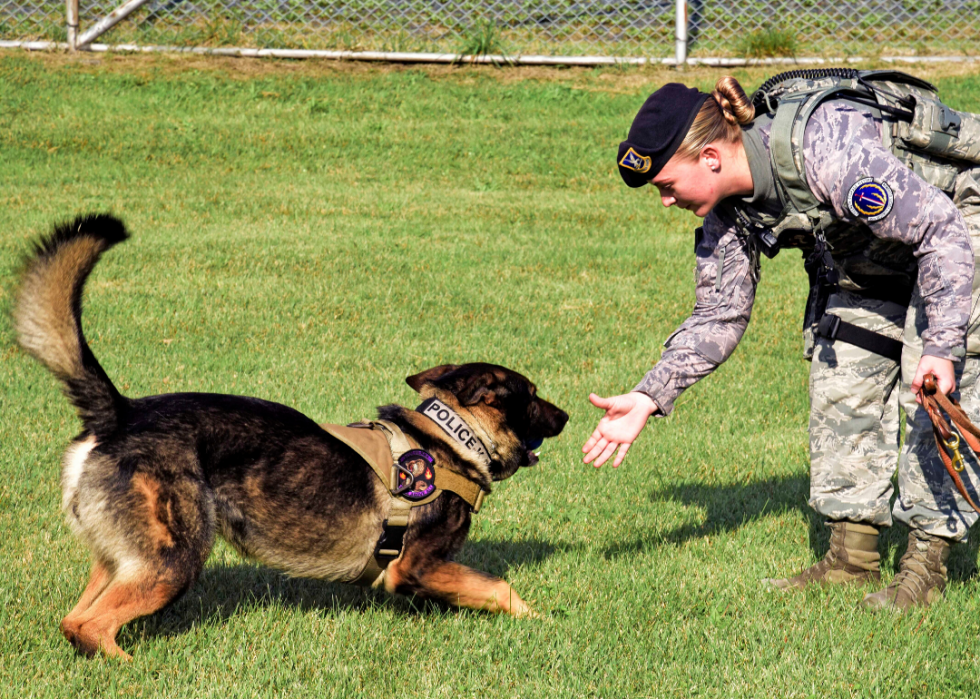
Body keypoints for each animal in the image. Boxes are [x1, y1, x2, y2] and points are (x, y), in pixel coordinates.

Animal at [15, 216, 568, 664]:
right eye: (533, 396)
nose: (566, 415)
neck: (449, 438)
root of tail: (121, 412)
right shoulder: (413, 566)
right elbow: (499, 587)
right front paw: (543, 620)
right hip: (172, 560)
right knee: (91, 626)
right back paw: (132, 667)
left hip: (122, 559)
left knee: (72, 621)